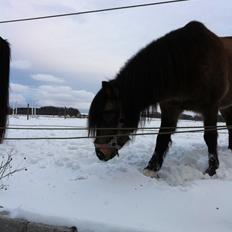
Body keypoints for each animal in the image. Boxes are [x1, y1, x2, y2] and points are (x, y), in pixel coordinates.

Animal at [88, 21, 231, 178]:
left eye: (108, 113)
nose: (100, 153)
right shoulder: (171, 107)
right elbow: (162, 136)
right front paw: (151, 168)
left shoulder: (210, 107)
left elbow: (210, 137)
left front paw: (212, 169)